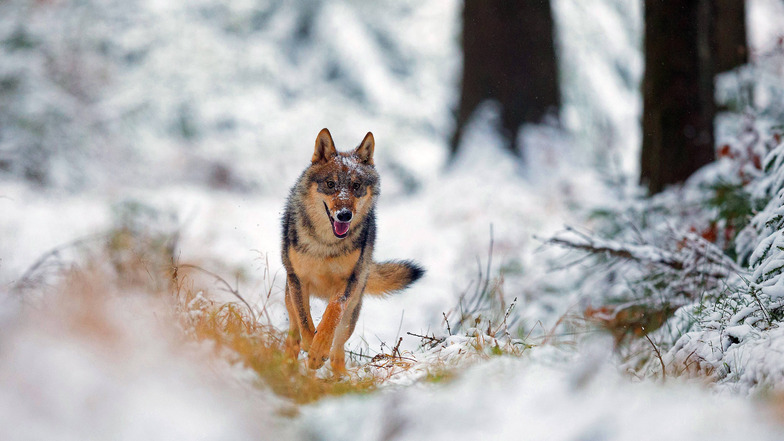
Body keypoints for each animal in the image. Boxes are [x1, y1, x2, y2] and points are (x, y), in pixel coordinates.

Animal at [282, 128, 426, 374]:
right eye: (330, 184)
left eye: (356, 186)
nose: (344, 215)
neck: (326, 244)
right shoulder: (298, 279)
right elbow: (305, 320)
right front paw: (311, 345)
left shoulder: (347, 281)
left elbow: (332, 313)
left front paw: (318, 350)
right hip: (289, 294)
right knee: (293, 330)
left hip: (353, 310)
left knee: (338, 350)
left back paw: (338, 374)